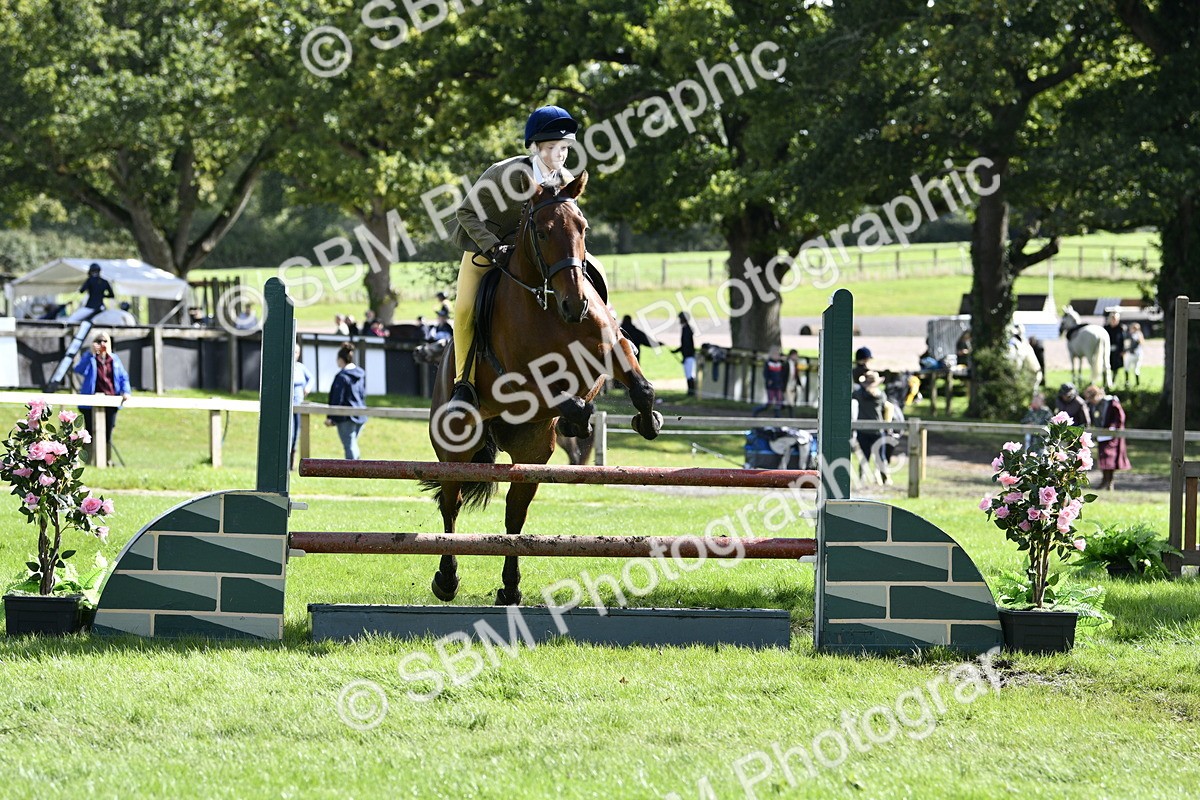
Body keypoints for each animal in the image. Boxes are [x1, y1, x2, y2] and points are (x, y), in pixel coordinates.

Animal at [426, 170, 662, 605]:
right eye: (542, 230)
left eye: (583, 227)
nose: (575, 305)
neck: (548, 303)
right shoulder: (520, 383)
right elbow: (569, 401)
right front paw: (579, 420)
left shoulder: (612, 349)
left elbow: (639, 386)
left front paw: (647, 420)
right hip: (455, 447)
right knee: (451, 503)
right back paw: (446, 579)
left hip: (531, 452)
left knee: (514, 515)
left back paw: (510, 586)